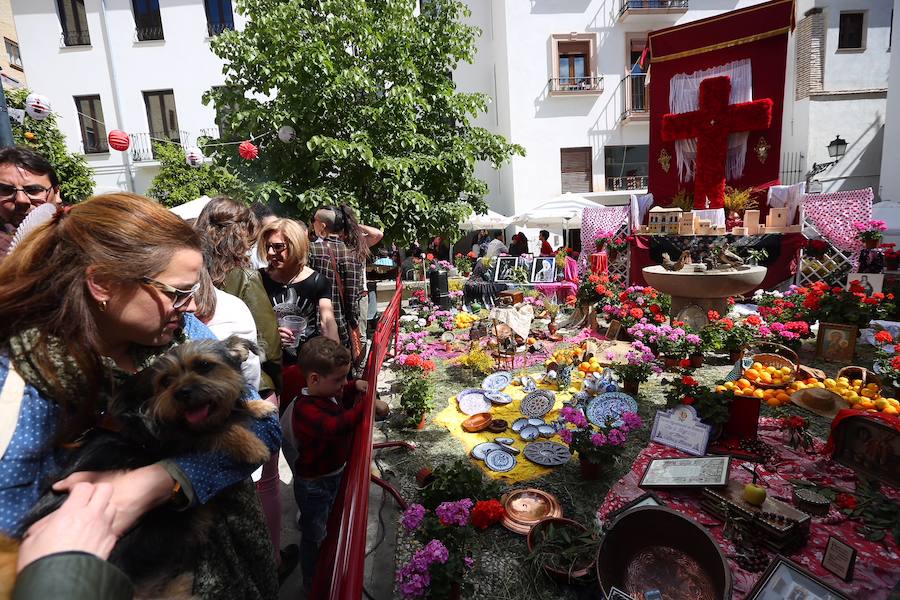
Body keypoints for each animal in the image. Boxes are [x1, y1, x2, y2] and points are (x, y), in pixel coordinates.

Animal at [0, 338, 274, 600]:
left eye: (204, 366)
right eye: (166, 381)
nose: (182, 393)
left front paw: (258, 407)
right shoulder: (164, 440)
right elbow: (213, 432)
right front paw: (250, 444)